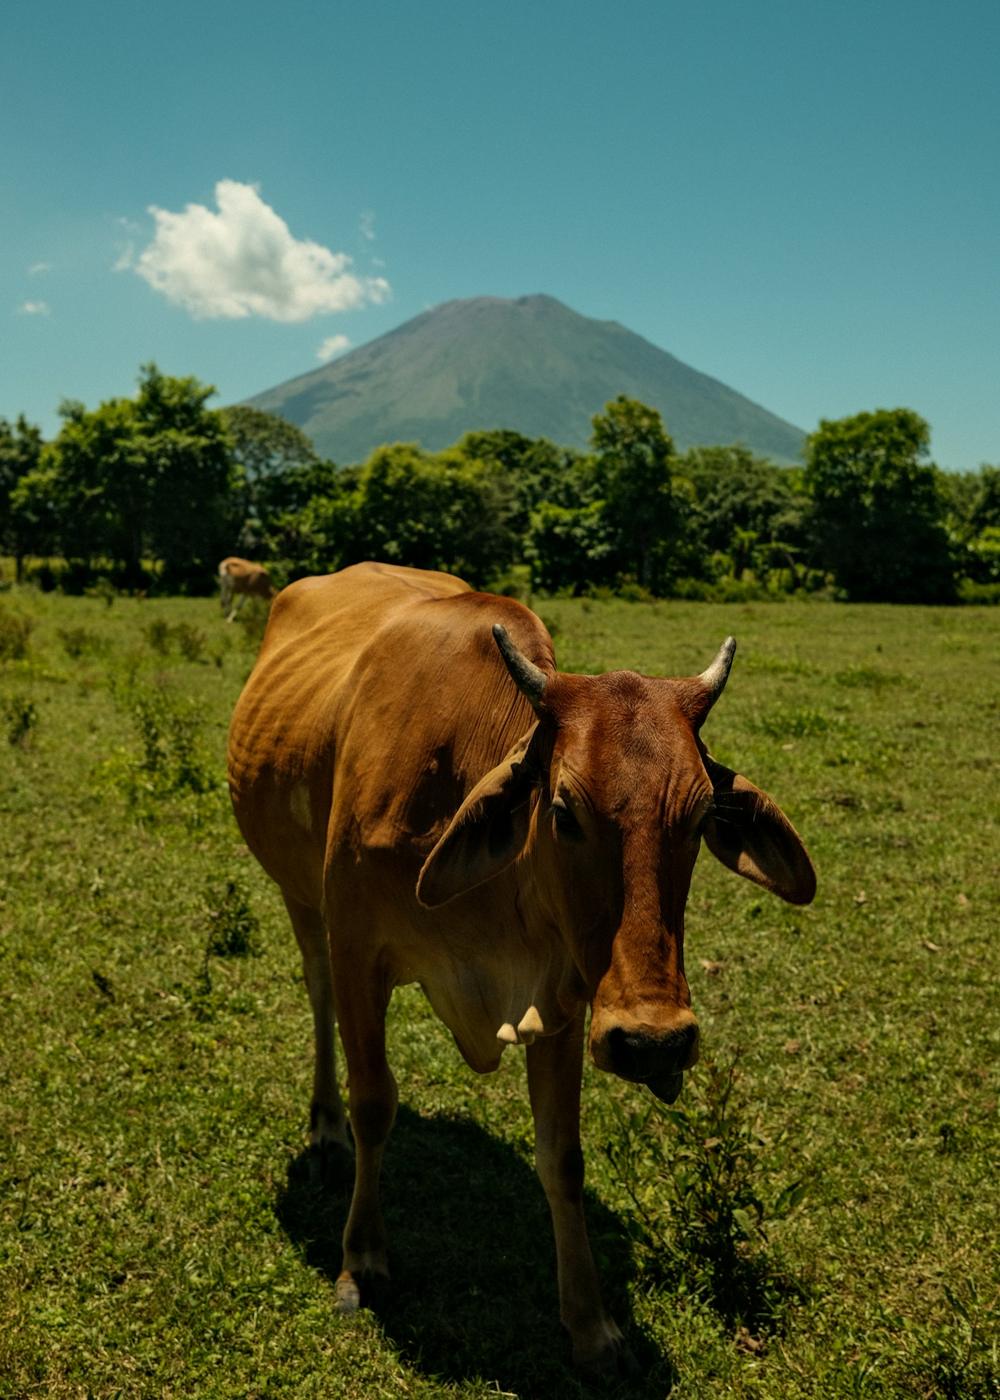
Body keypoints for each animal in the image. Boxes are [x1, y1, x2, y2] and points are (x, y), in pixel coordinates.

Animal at [226, 561, 815, 1373]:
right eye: (563, 809)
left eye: (700, 817)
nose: (654, 1041)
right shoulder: (357, 951)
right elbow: (375, 1103)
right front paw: (362, 1261)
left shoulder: (567, 997)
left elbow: (563, 1157)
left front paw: (591, 1323)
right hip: (301, 898)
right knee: (317, 1002)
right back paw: (324, 1131)